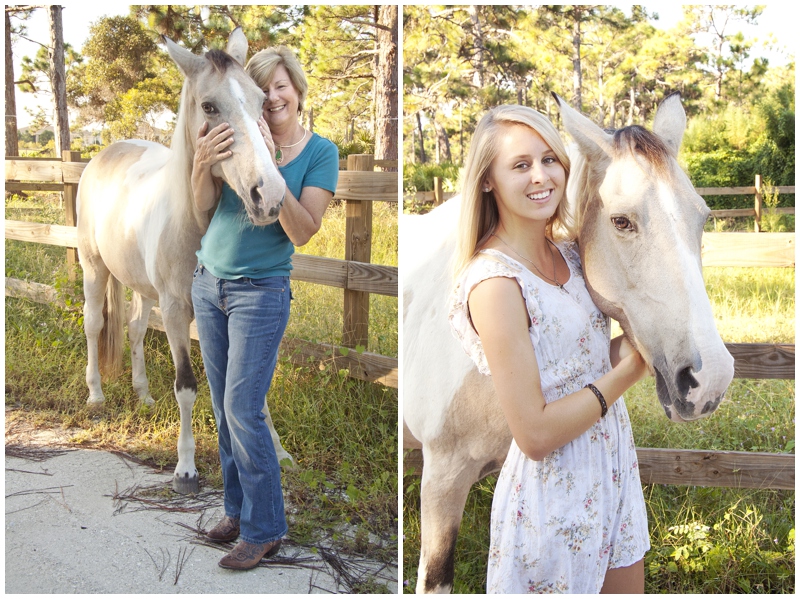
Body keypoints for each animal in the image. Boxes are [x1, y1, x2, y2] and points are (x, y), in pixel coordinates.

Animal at [76, 30, 290, 494]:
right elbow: (188, 386)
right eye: (209, 106)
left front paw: (280, 451)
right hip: (94, 269)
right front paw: (186, 467)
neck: (190, 220)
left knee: (135, 330)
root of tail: (106, 152)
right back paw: (96, 395)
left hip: (141, 287)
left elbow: (253, 388)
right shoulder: (176, 313)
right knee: (95, 325)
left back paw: (142, 394)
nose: (270, 195)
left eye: (262, 100)